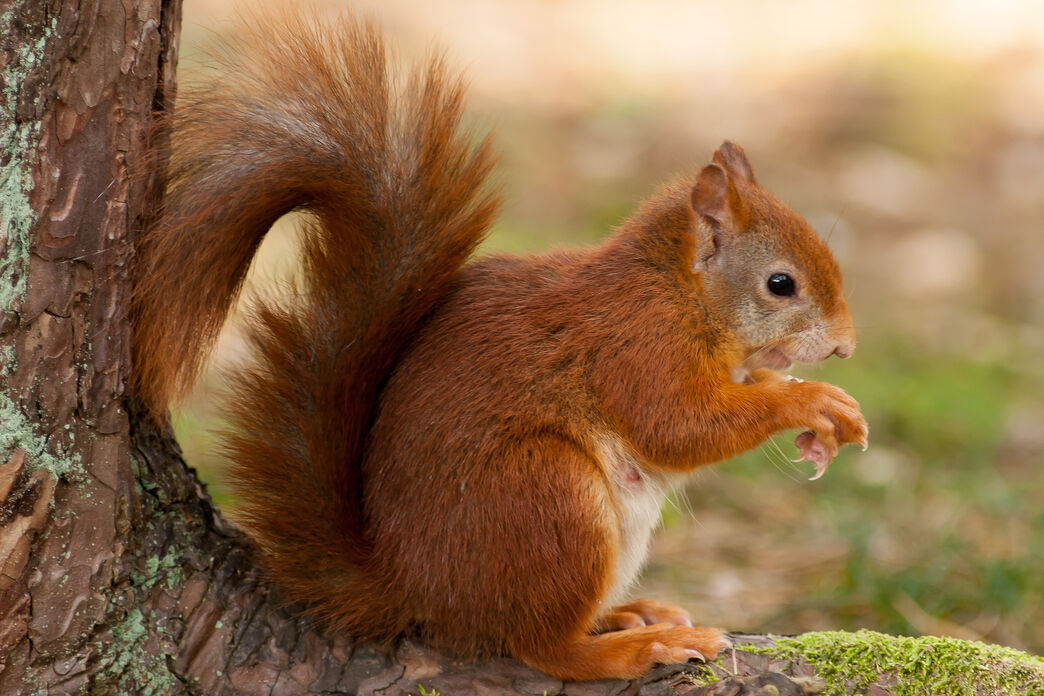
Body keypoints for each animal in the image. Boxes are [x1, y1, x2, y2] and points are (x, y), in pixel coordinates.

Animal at [132, 12, 868, 682]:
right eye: (781, 284)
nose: (846, 347)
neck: (682, 294)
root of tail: (416, 591)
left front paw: (823, 414)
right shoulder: (635, 346)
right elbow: (677, 427)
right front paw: (810, 403)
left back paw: (627, 614)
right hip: (544, 494)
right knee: (541, 645)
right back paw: (633, 647)